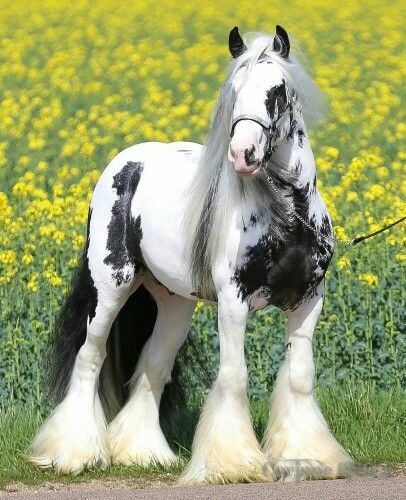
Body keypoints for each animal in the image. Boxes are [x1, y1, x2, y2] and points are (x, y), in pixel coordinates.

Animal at [28, 25, 352, 482]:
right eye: (233, 90)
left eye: (278, 91)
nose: (242, 154)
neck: (286, 216)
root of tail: (126, 162)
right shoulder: (234, 301)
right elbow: (233, 377)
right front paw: (233, 464)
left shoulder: (309, 300)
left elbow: (300, 377)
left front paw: (306, 457)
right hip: (109, 288)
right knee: (89, 358)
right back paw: (73, 455)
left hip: (174, 303)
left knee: (153, 367)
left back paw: (143, 454)